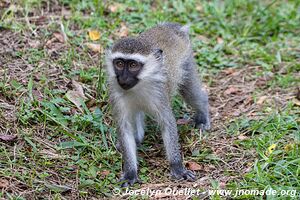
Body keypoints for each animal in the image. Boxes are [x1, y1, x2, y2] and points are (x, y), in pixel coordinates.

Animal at [105, 22, 211, 187]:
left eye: (133, 65)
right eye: (119, 64)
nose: (123, 78)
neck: (139, 86)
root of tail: (169, 27)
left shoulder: (159, 94)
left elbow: (167, 123)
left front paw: (177, 167)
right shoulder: (116, 95)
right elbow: (125, 127)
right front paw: (130, 173)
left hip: (187, 59)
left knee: (191, 93)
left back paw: (203, 114)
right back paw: (137, 138)